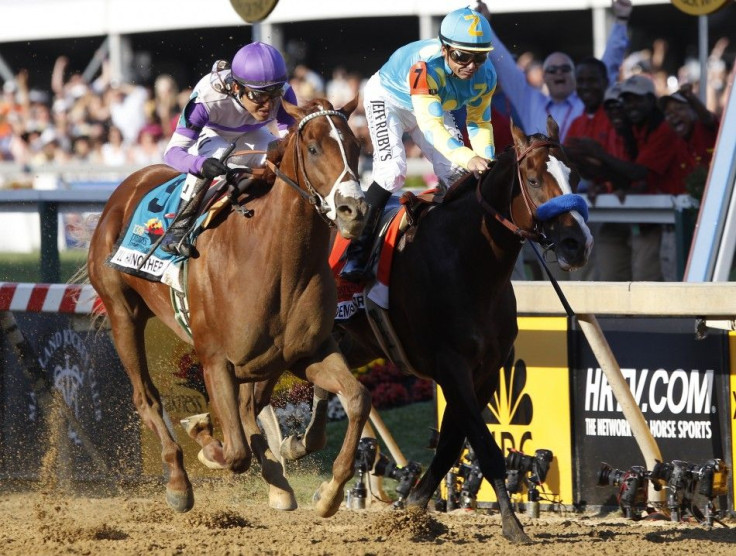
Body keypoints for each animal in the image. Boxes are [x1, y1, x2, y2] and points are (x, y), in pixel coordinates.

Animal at [87, 99, 374, 516]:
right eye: (314, 148)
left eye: (355, 146)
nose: (355, 210)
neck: (274, 260)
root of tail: (129, 185)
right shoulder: (215, 359)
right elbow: (235, 452)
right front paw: (204, 439)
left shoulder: (306, 352)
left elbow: (355, 399)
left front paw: (329, 491)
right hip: (123, 313)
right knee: (147, 398)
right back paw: (179, 481)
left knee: (252, 406)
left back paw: (278, 480)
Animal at [276, 118, 592, 544]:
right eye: (533, 179)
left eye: (574, 175)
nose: (577, 244)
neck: (467, 261)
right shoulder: (451, 366)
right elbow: (483, 445)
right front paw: (513, 525)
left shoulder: (485, 371)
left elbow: (452, 442)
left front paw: (413, 505)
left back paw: (300, 449)